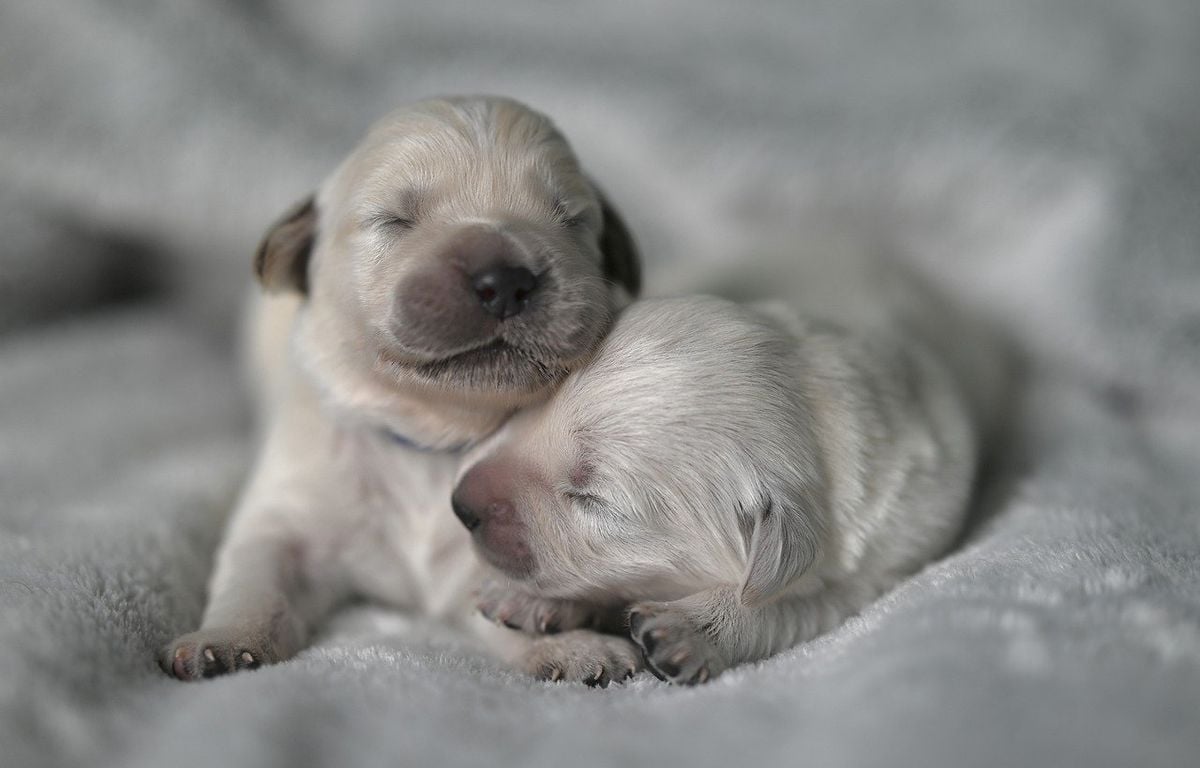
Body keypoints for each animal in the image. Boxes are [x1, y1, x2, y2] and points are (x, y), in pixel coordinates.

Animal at [165, 97, 648, 681]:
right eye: (393, 220)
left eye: (571, 220)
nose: (505, 280)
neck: (431, 438)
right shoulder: (288, 513)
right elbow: (256, 579)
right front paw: (224, 641)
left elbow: (507, 599)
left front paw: (572, 645)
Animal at [451, 254, 1003, 686]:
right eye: (543, 404)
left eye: (593, 499)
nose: (460, 506)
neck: (818, 407)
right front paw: (524, 600)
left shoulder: (881, 564)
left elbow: (789, 607)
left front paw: (693, 629)